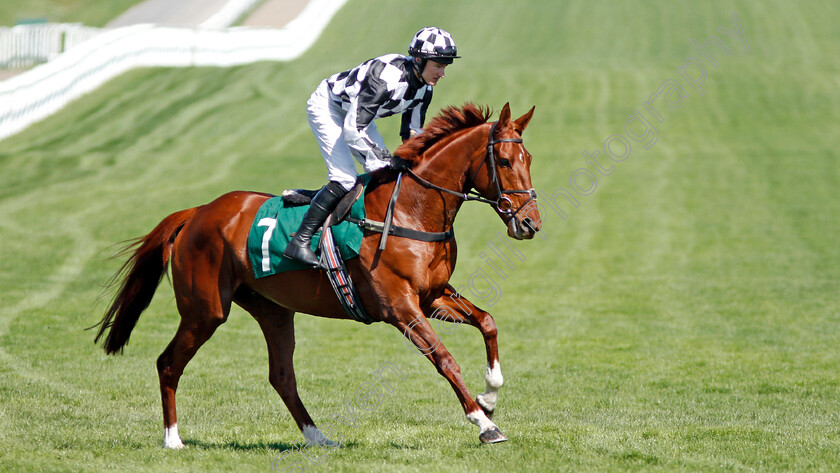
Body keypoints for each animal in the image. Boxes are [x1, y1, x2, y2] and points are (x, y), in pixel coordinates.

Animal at [92, 101, 540, 448]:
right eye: (503, 161)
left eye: (529, 160)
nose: (530, 224)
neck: (411, 209)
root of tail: (198, 212)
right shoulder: (399, 306)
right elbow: (445, 359)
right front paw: (484, 423)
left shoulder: (431, 295)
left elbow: (487, 321)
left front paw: (491, 394)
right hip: (205, 311)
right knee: (168, 363)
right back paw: (173, 438)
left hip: (273, 311)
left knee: (281, 376)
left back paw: (317, 436)